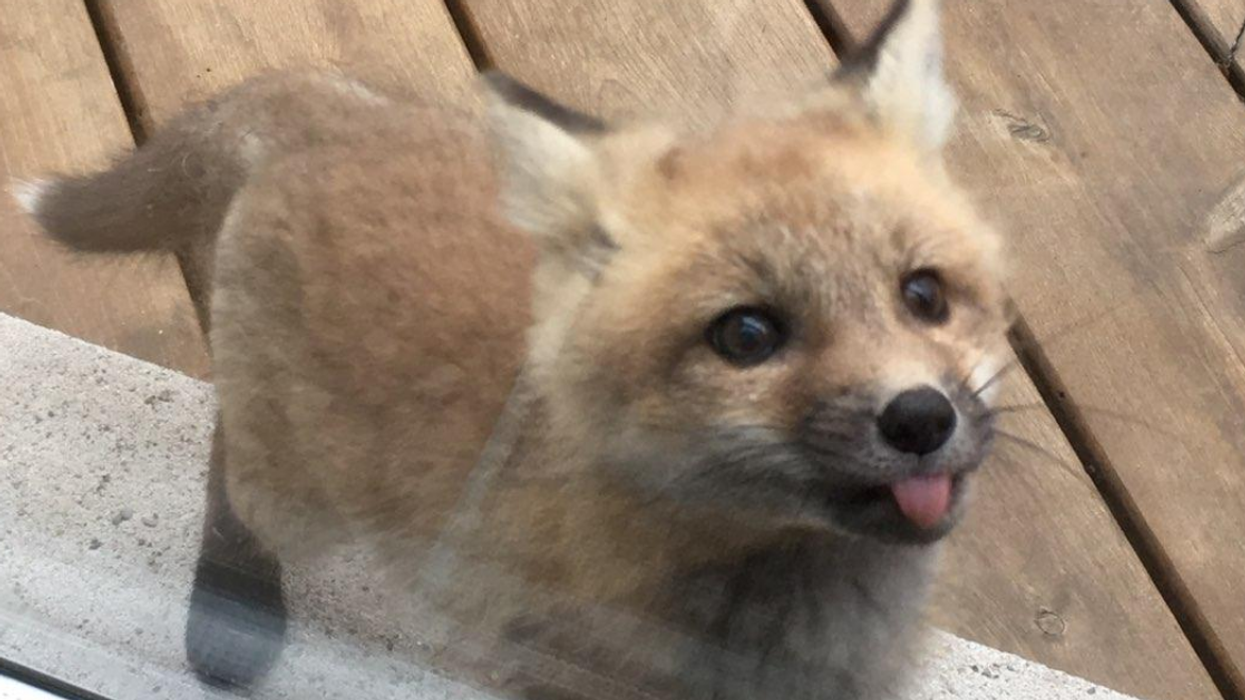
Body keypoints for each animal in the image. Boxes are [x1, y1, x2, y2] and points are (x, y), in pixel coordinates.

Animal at [14, 0, 1010, 697]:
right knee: (231, 479)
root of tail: (321, 113)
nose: (919, 418)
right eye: (747, 335)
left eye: (924, 295)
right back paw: (233, 606)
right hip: (298, 494)